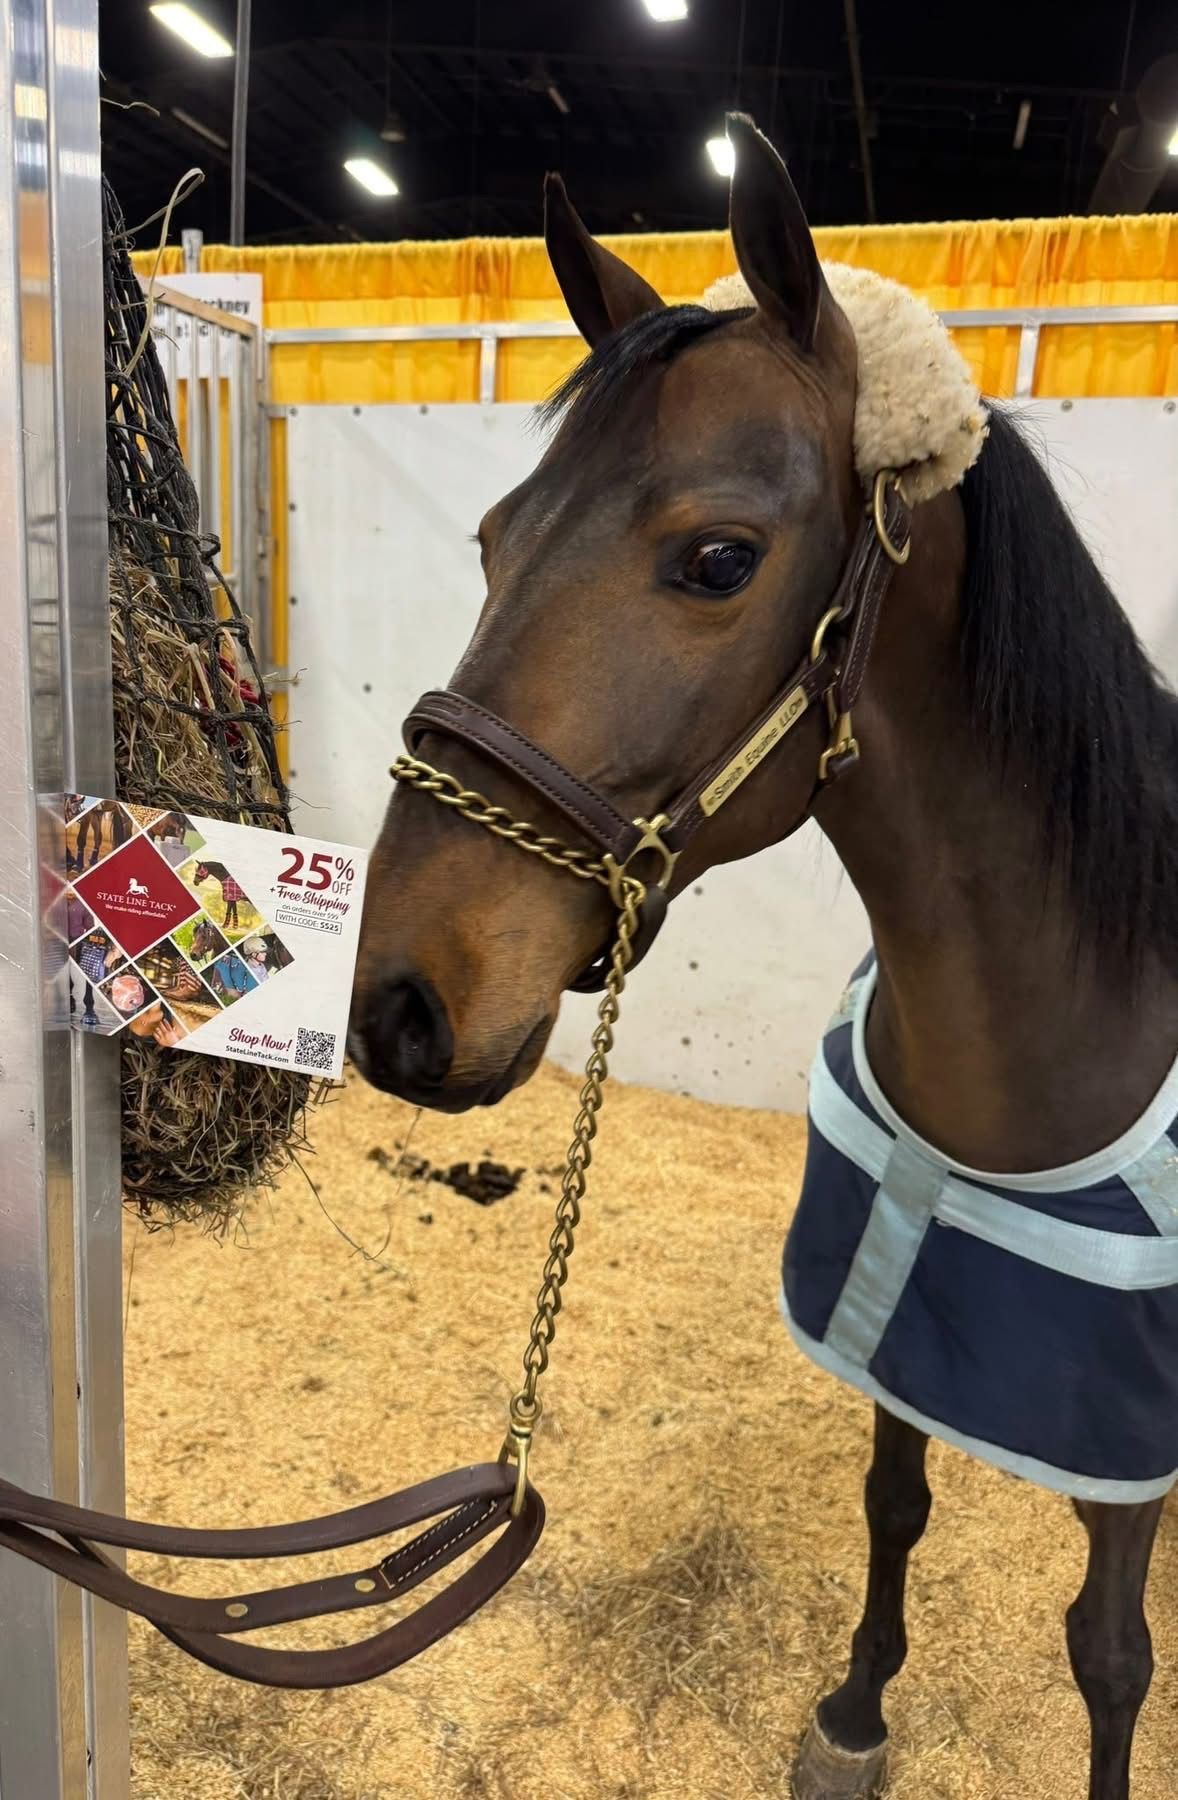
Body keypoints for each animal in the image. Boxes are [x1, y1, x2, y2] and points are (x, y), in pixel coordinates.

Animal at [349, 115, 1178, 1800]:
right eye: (492, 538)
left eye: (719, 557)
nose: (401, 1006)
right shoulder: (905, 1327)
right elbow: (895, 1507)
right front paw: (853, 1717)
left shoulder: (1124, 1439)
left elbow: (1107, 1652)